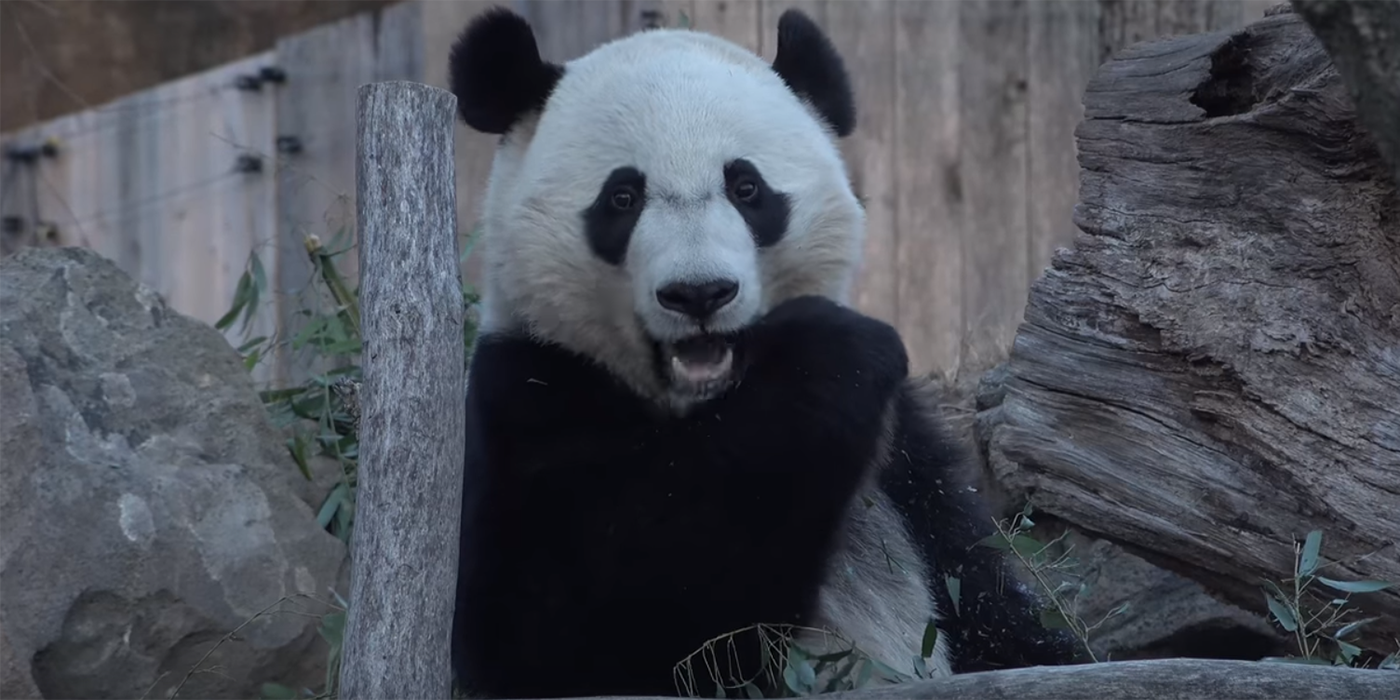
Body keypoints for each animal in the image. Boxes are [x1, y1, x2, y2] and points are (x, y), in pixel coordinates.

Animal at [448, 6, 1080, 700]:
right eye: (622, 197)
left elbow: (989, 606)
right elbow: (572, 628)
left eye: (746, 187)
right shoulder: (529, 399)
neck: (705, 408)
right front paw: (828, 356)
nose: (699, 293)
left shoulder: (908, 468)